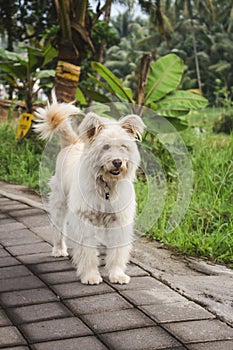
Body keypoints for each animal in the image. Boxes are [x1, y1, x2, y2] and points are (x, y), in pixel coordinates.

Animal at [34, 93, 145, 284]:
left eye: (123, 146)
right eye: (106, 146)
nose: (117, 162)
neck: (106, 184)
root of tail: (71, 143)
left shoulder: (118, 220)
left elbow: (117, 252)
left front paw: (116, 274)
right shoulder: (84, 219)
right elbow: (87, 252)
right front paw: (90, 276)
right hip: (59, 203)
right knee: (58, 228)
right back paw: (59, 250)